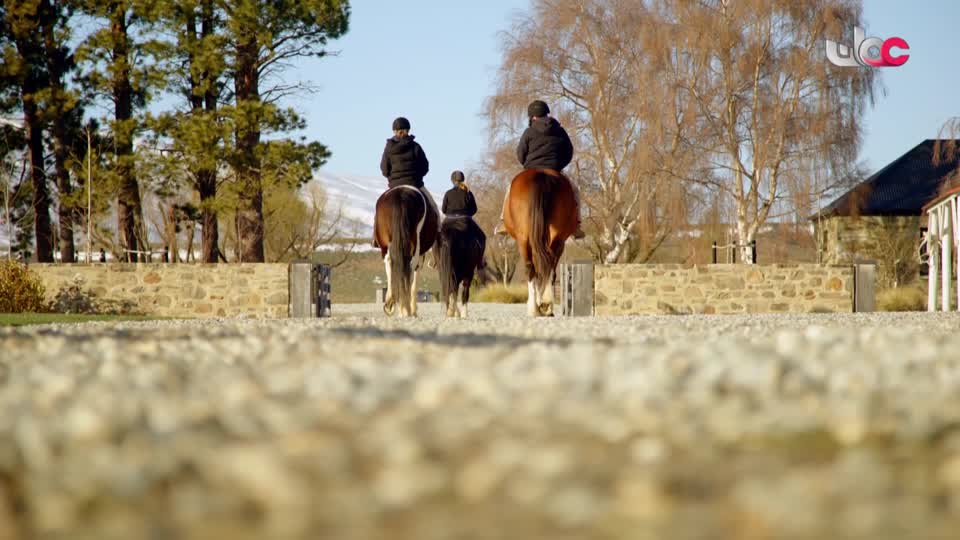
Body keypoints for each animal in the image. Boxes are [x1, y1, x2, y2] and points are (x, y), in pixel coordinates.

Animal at [376, 186, 438, 316]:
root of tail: (400, 194)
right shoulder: (421, 254)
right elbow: (415, 277)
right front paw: (413, 308)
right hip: (415, 247)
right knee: (410, 267)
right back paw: (406, 308)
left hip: (386, 246)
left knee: (390, 264)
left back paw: (393, 303)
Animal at [502, 169, 576, 316]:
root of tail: (541, 174)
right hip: (555, 238)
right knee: (548, 267)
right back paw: (545, 304)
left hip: (524, 240)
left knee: (532, 268)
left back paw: (535, 308)